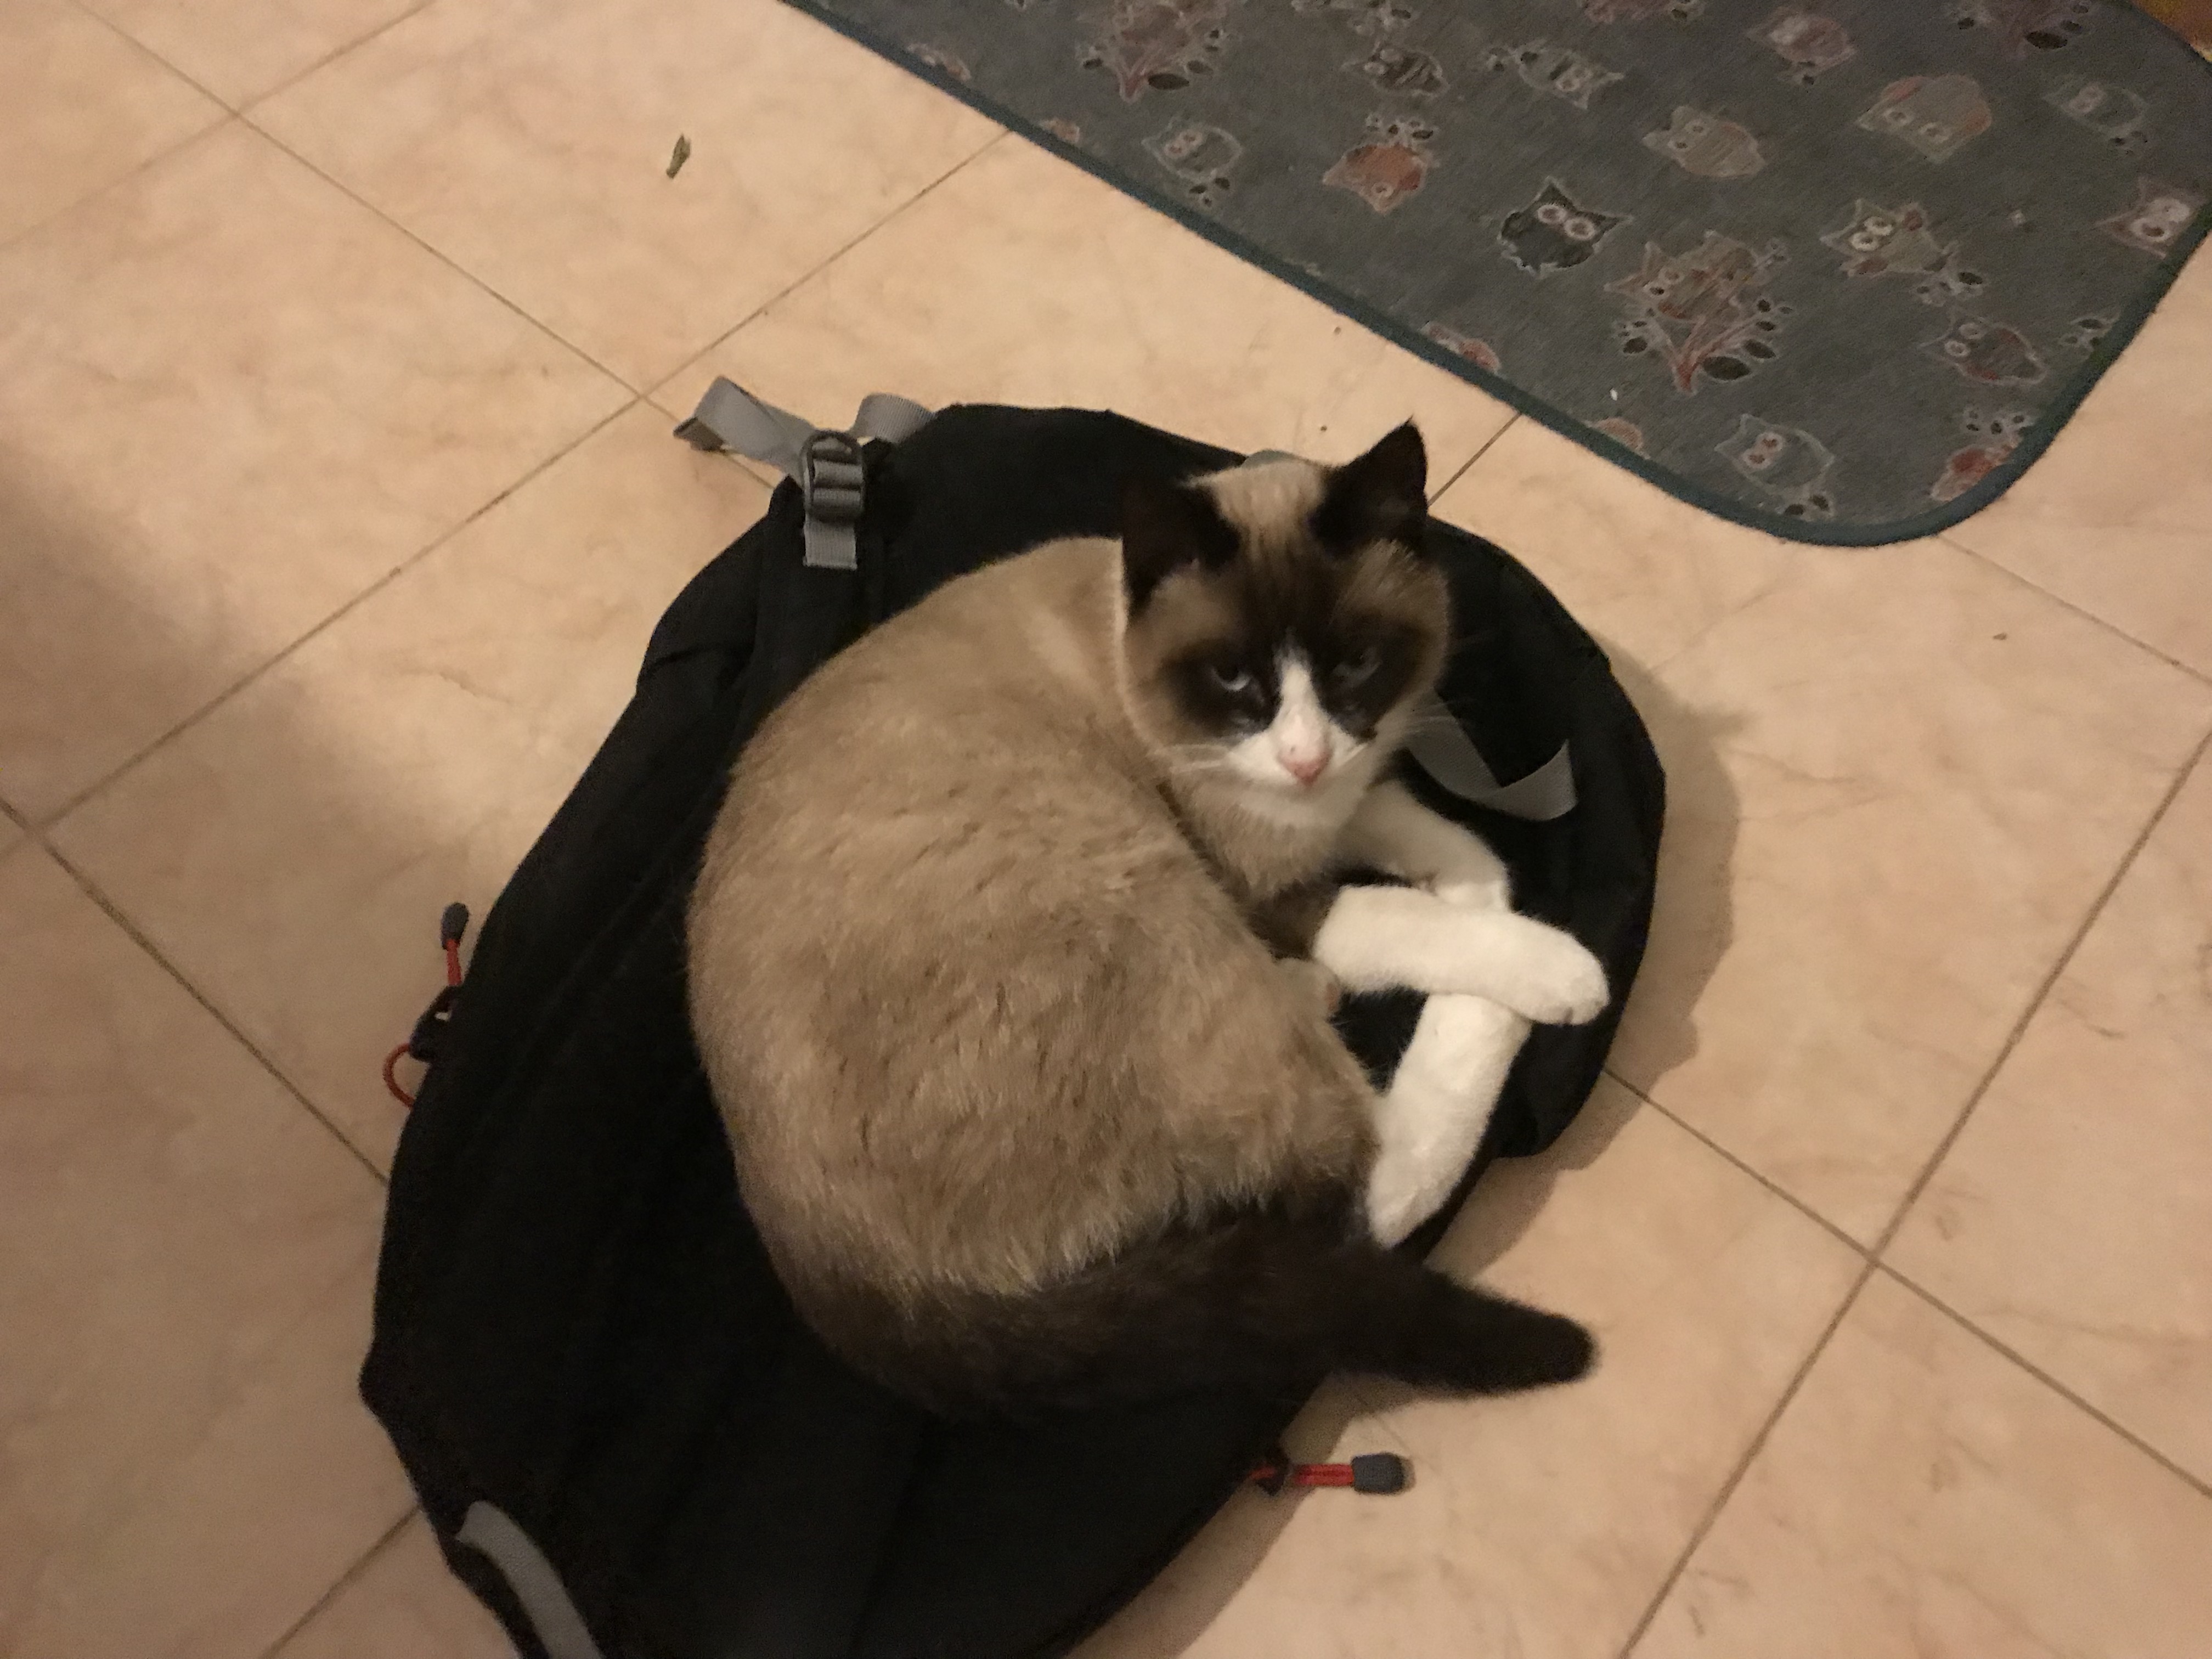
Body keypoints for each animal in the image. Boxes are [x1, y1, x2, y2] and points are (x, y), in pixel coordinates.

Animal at [688, 425, 1607, 1417]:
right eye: (1233, 677)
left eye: (1356, 664)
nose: (1305, 755)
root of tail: (852, 1286)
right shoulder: (1258, 882)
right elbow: (1403, 920)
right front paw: (1550, 966)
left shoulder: (1339, 796)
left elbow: (1441, 843)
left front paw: (1478, 885)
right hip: (1156, 896)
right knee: (1374, 1189)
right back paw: (1500, 1004)